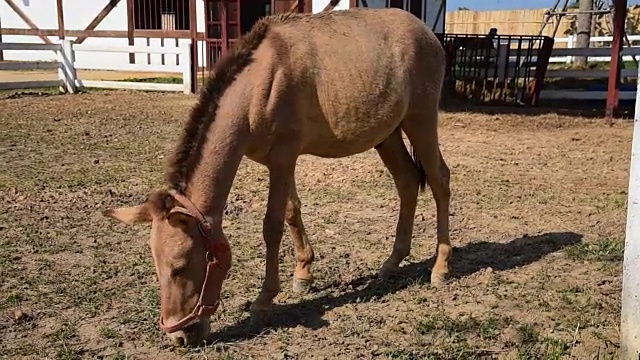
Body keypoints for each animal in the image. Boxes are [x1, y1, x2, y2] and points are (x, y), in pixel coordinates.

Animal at [104, 7, 450, 346]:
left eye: (180, 266)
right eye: (157, 265)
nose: (179, 336)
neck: (258, 83)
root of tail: (427, 33)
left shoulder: (283, 159)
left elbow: (272, 226)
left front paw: (263, 302)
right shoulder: (278, 163)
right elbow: (291, 212)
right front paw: (303, 274)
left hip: (420, 121)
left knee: (439, 180)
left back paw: (441, 267)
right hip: (388, 135)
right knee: (407, 181)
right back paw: (392, 262)